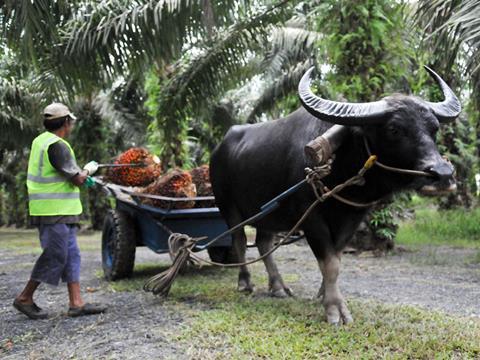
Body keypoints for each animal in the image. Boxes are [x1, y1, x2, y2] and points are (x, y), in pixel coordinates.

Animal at [211, 66, 462, 324]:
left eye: (434, 129)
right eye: (394, 129)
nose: (443, 175)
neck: (339, 165)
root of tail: (218, 150)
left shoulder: (353, 216)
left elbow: (336, 258)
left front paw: (323, 294)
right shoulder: (311, 218)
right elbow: (330, 263)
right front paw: (335, 309)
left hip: (268, 212)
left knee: (263, 242)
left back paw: (278, 286)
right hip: (227, 206)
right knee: (240, 241)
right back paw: (245, 282)